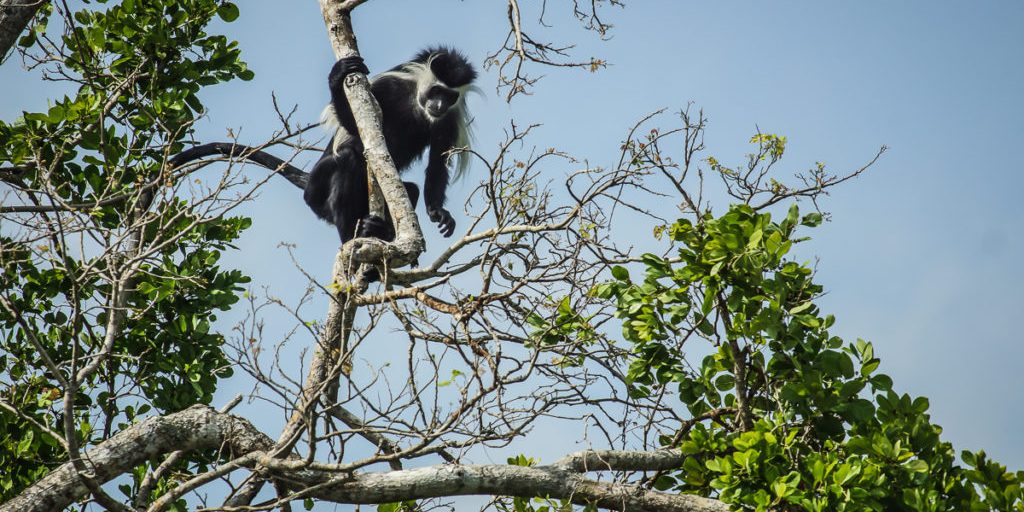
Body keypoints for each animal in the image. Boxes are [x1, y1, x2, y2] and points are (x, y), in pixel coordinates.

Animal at [303, 46, 479, 243]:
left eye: (450, 96)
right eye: (436, 91)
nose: (440, 105)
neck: (417, 104)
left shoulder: (449, 120)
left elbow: (438, 162)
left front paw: (438, 211)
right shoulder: (387, 86)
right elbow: (354, 124)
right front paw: (338, 74)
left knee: (412, 190)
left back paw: (379, 230)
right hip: (317, 187)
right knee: (346, 158)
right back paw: (353, 236)